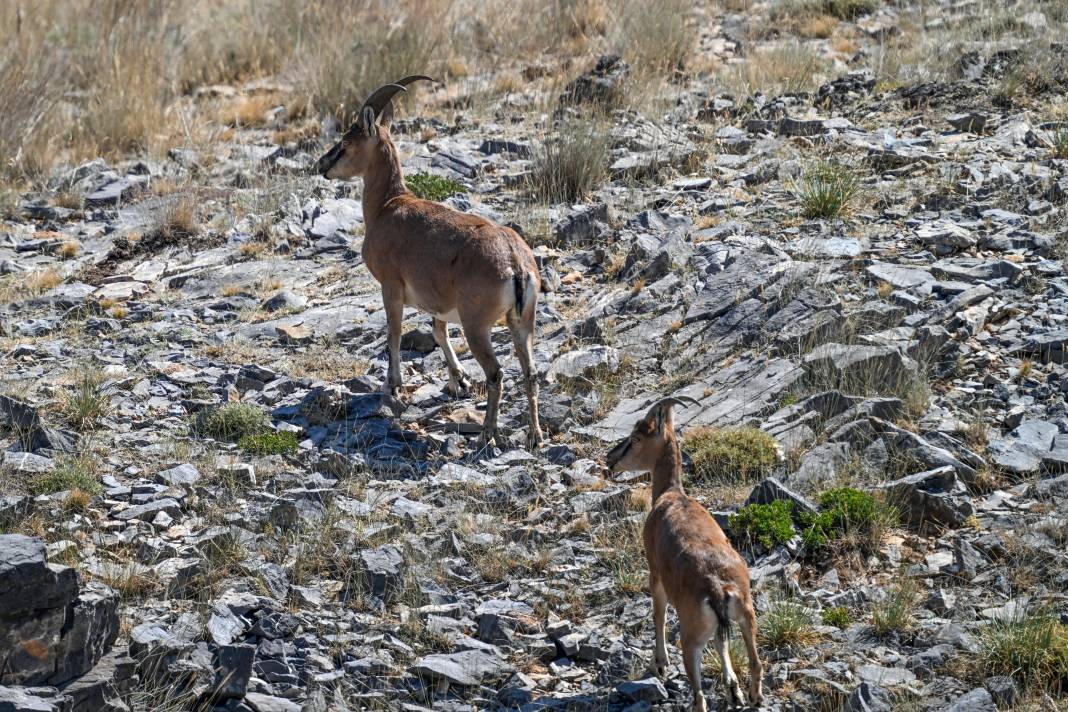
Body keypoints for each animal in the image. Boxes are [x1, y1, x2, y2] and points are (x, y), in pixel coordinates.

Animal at [313, 76, 542, 446]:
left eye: (346, 142)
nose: (322, 165)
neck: (388, 205)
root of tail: (515, 262)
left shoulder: (391, 287)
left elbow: (393, 332)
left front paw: (392, 385)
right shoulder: (438, 301)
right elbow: (438, 331)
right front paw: (458, 380)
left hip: (477, 326)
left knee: (496, 373)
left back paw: (487, 433)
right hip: (522, 323)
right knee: (531, 372)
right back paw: (534, 436)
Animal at [606, 399, 764, 708]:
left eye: (636, 438)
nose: (610, 459)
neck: (671, 494)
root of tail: (717, 589)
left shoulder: (655, 573)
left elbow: (658, 614)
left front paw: (660, 664)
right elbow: (722, 641)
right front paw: (732, 686)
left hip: (691, 640)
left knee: (700, 696)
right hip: (746, 617)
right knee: (754, 661)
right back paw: (751, 696)